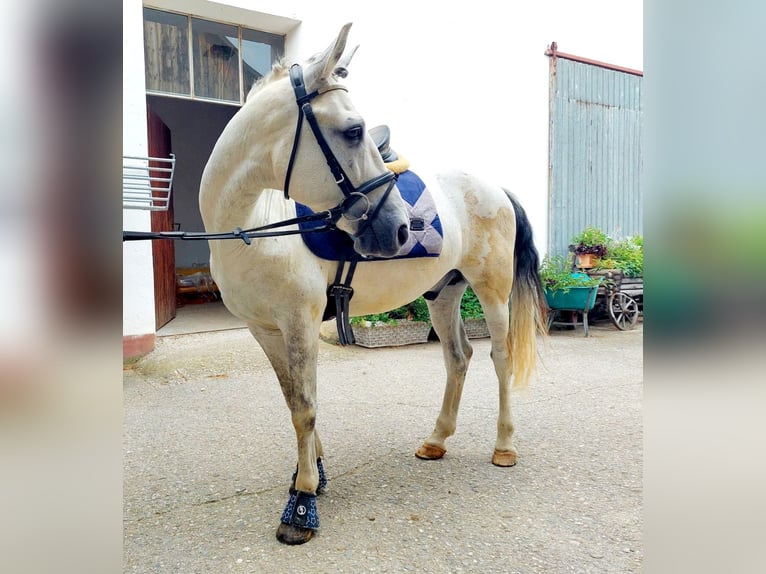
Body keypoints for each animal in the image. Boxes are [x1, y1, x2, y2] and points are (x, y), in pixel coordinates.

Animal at [198, 21, 544, 544]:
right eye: (354, 131)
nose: (400, 228)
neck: (254, 227)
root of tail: (495, 188)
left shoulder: (299, 323)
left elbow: (305, 406)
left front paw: (301, 504)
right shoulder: (266, 330)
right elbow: (293, 399)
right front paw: (313, 477)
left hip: (492, 292)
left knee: (499, 359)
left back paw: (504, 446)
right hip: (444, 294)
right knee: (458, 357)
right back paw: (436, 439)